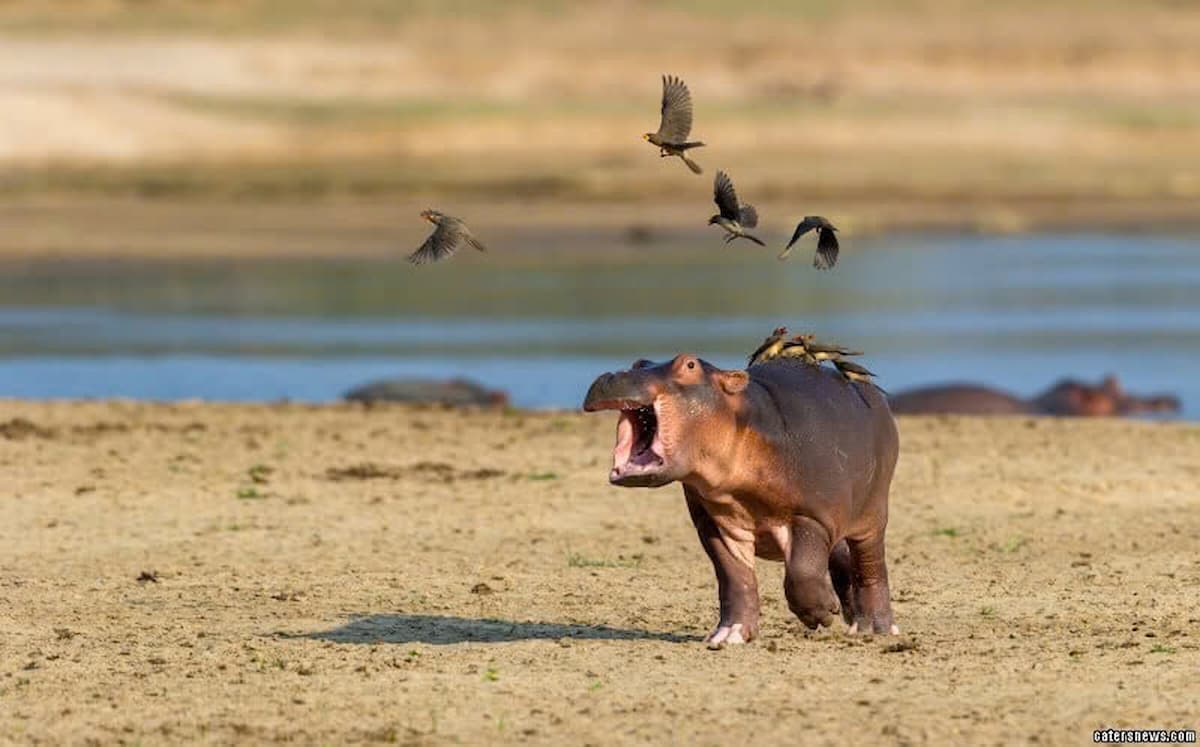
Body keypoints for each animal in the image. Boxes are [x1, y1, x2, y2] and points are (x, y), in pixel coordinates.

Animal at [580, 353, 902, 648]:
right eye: (638, 363)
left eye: (690, 364)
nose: (615, 375)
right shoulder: (714, 523)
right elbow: (735, 578)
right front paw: (729, 635)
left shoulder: (812, 516)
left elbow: (802, 571)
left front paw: (822, 613)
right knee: (842, 558)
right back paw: (852, 620)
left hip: (873, 514)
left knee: (870, 566)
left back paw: (876, 628)